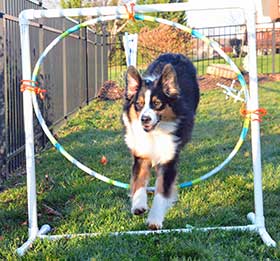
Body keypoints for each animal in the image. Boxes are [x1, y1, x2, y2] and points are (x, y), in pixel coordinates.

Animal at [122, 53, 199, 230]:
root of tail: (176, 54)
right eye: (138, 104)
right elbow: (139, 182)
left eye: (157, 103)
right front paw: (138, 205)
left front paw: (155, 220)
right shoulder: (141, 154)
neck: (155, 133)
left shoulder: (168, 159)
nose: (144, 119)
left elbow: (162, 192)